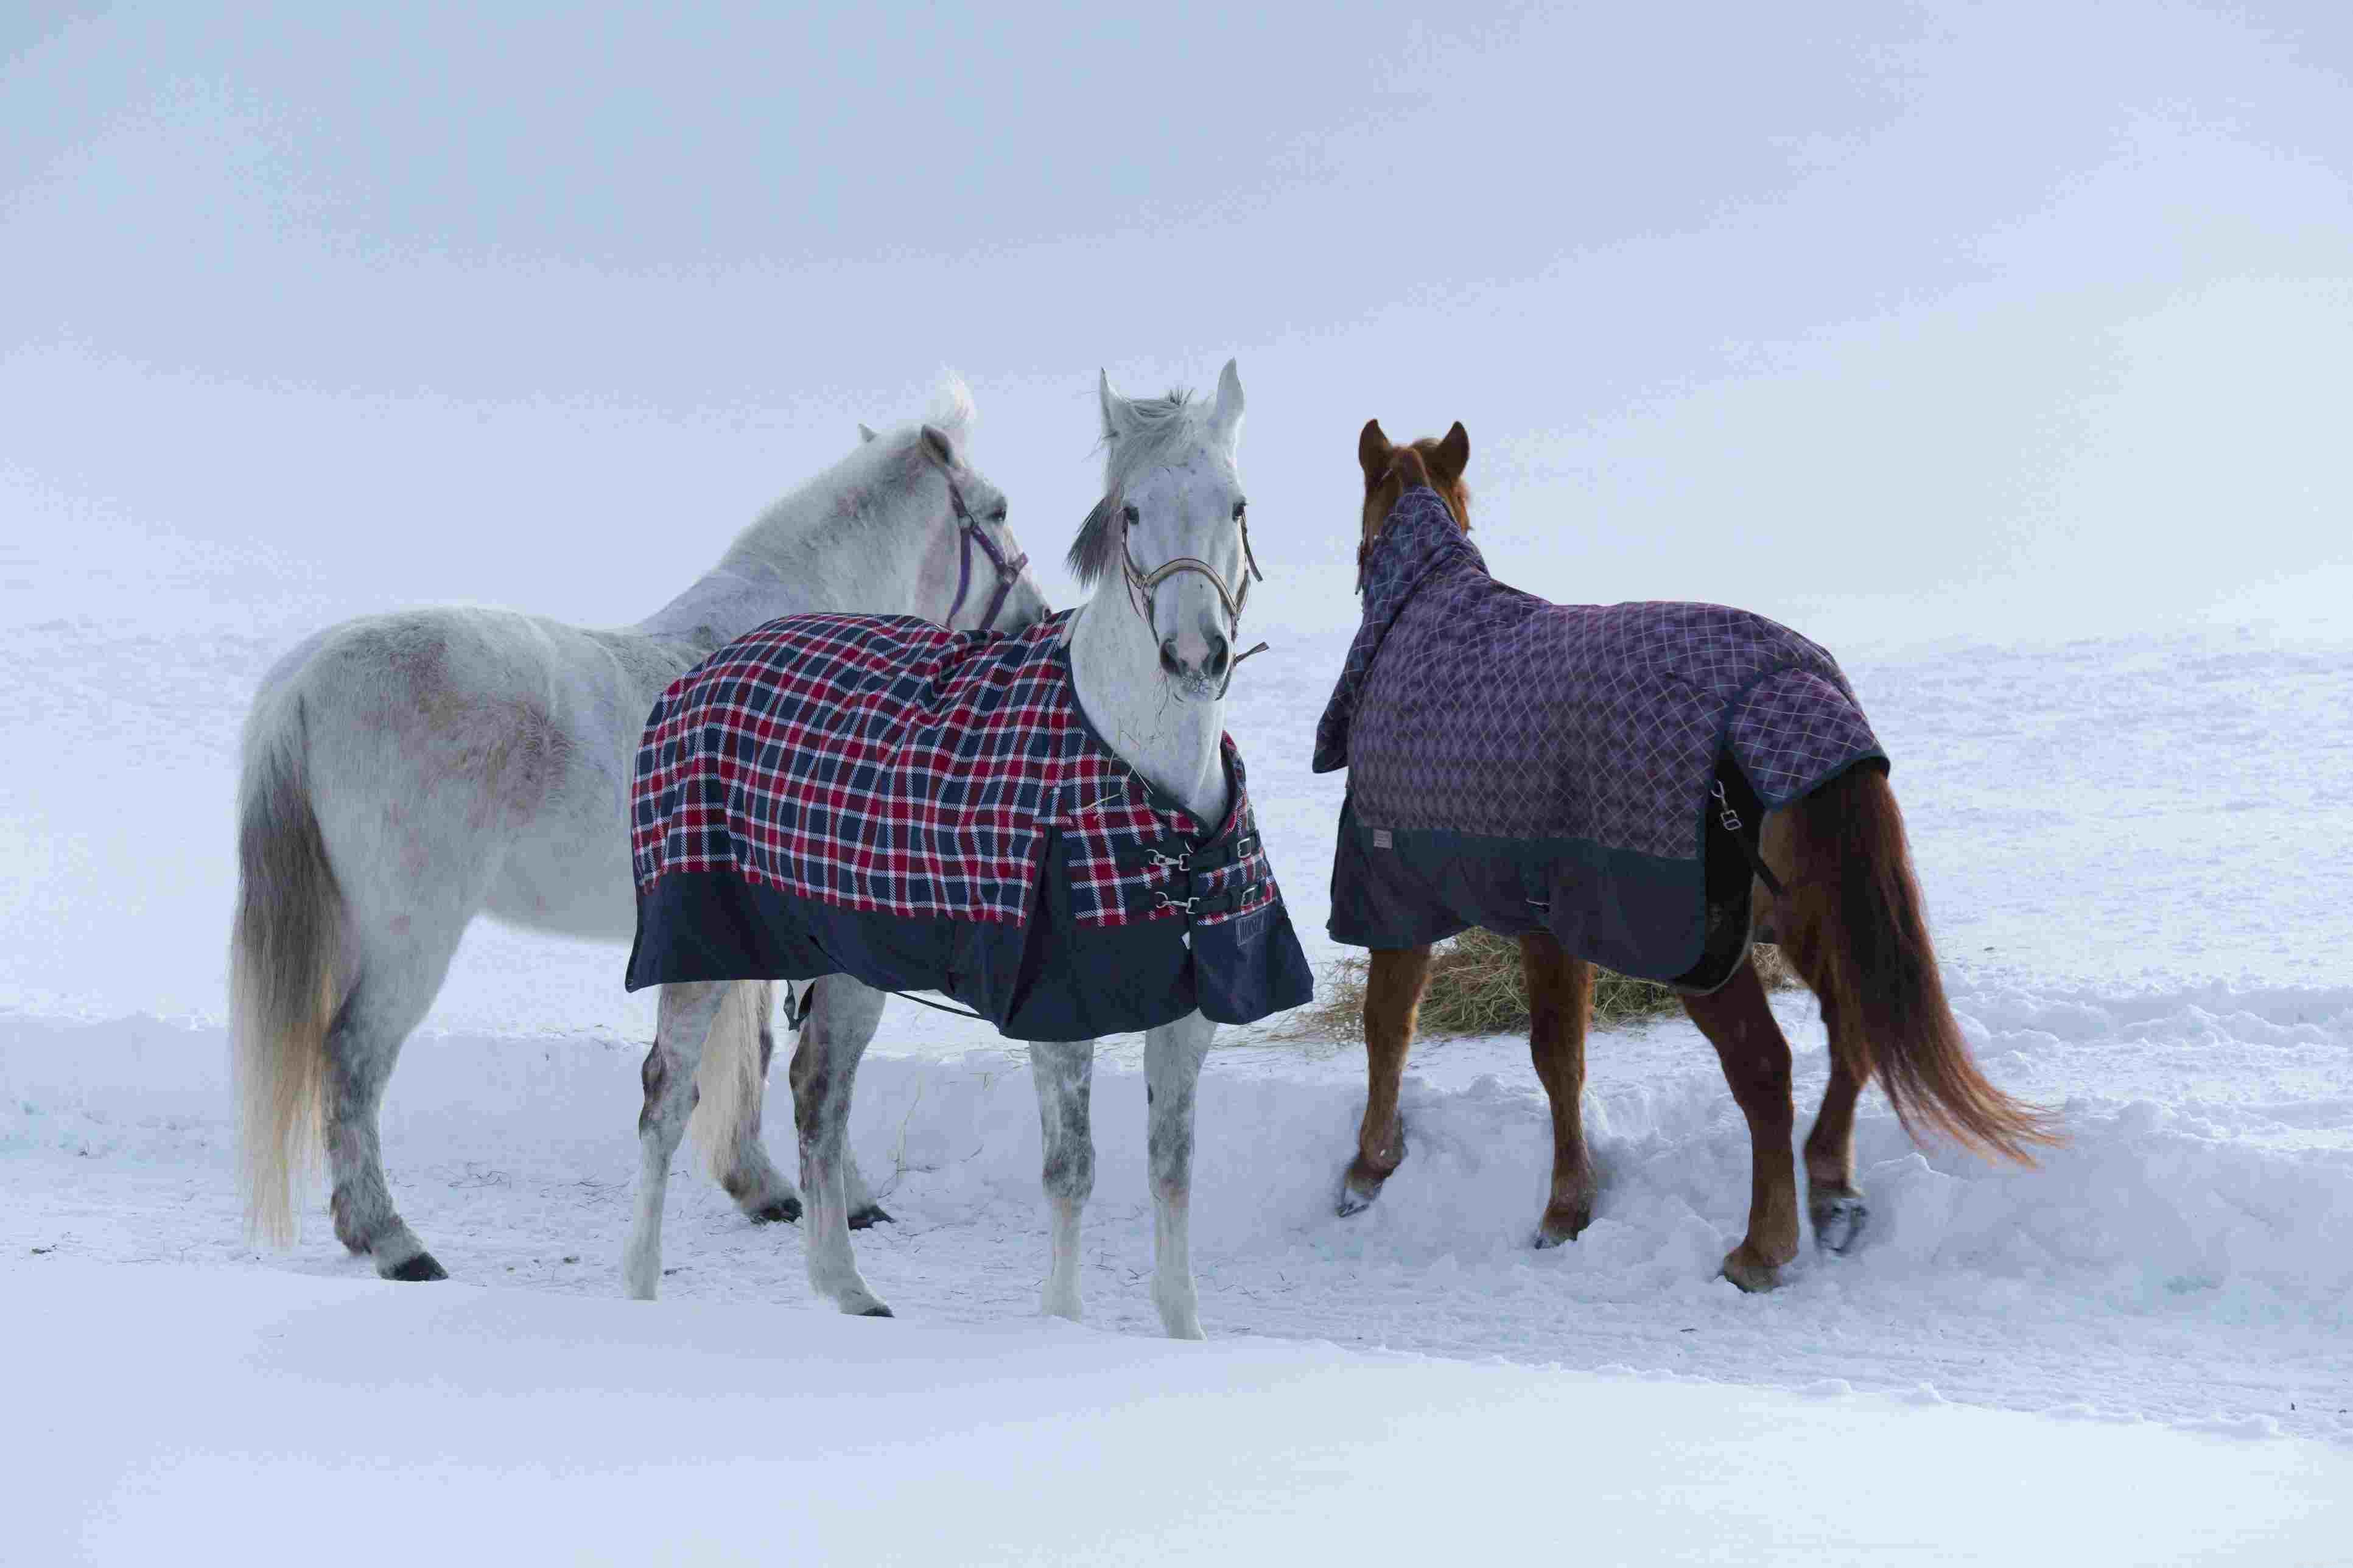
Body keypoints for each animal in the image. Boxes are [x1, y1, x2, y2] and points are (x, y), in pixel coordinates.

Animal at [230, 385, 1048, 1282]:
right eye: (998, 510)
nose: (1036, 620)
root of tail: (303, 683)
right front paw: (842, 1199)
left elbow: (752, 1053)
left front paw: (764, 1188)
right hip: (409, 935)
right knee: (353, 1059)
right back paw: (395, 1241)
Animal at [622, 361, 1313, 1336]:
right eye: (1132, 511)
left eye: (1237, 504)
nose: (1192, 656)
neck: (1142, 786)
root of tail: (703, 671)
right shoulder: (1059, 1011)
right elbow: (1072, 1168)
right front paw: (1061, 1321)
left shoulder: (1191, 1011)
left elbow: (1171, 1168)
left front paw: (1183, 1330)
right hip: (703, 949)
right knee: (668, 1094)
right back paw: (639, 1288)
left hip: (844, 962)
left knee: (817, 1097)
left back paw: (847, 1289)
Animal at [1322, 421, 2059, 1292]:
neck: (1425, 616)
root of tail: (1791, 690)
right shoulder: (1552, 920)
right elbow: (1559, 1056)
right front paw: (1567, 1201)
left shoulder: (1396, 895)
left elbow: (1393, 1027)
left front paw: (1371, 1169)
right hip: (1805, 919)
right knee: (1850, 1023)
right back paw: (1829, 1185)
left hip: (1701, 951)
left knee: (1765, 1069)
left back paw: (1761, 1246)